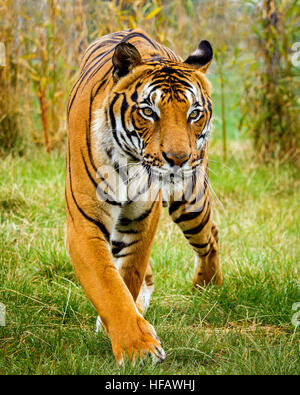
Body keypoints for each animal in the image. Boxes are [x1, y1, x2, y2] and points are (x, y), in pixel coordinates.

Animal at [67, 28, 223, 368]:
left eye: (194, 114)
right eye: (149, 112)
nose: (178, 159)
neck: (129, 163)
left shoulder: (142, 218)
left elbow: (129, 274)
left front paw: (132, 341)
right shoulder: (85, 223)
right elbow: (110, 287)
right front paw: (138, 348)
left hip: (190, 200)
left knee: (211, 235)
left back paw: (207, 287)